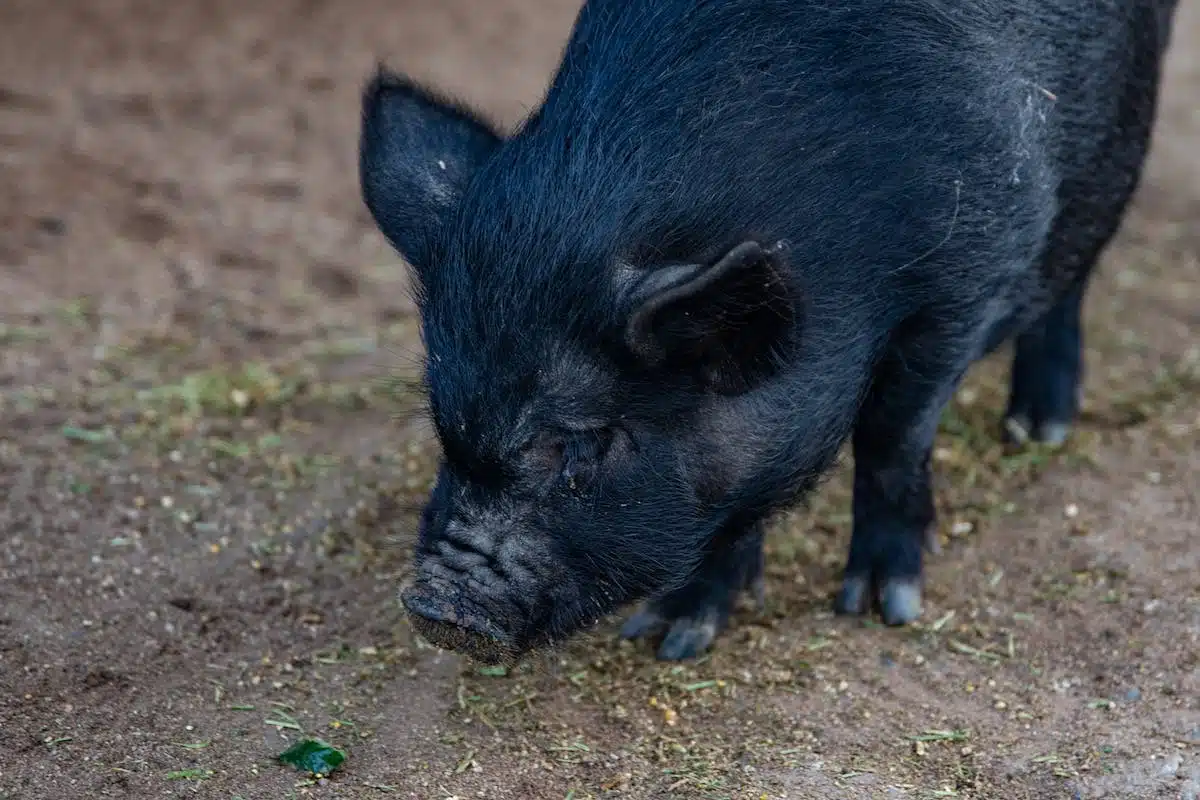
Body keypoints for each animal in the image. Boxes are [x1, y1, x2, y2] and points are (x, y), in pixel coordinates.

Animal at [357, 0, 1180, 662]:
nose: (434, 609)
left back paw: (1039, 428)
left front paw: (879, 608)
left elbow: (893, 433)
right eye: (445, 424)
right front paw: (669, 638)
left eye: (584, 444)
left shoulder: (970, 271)